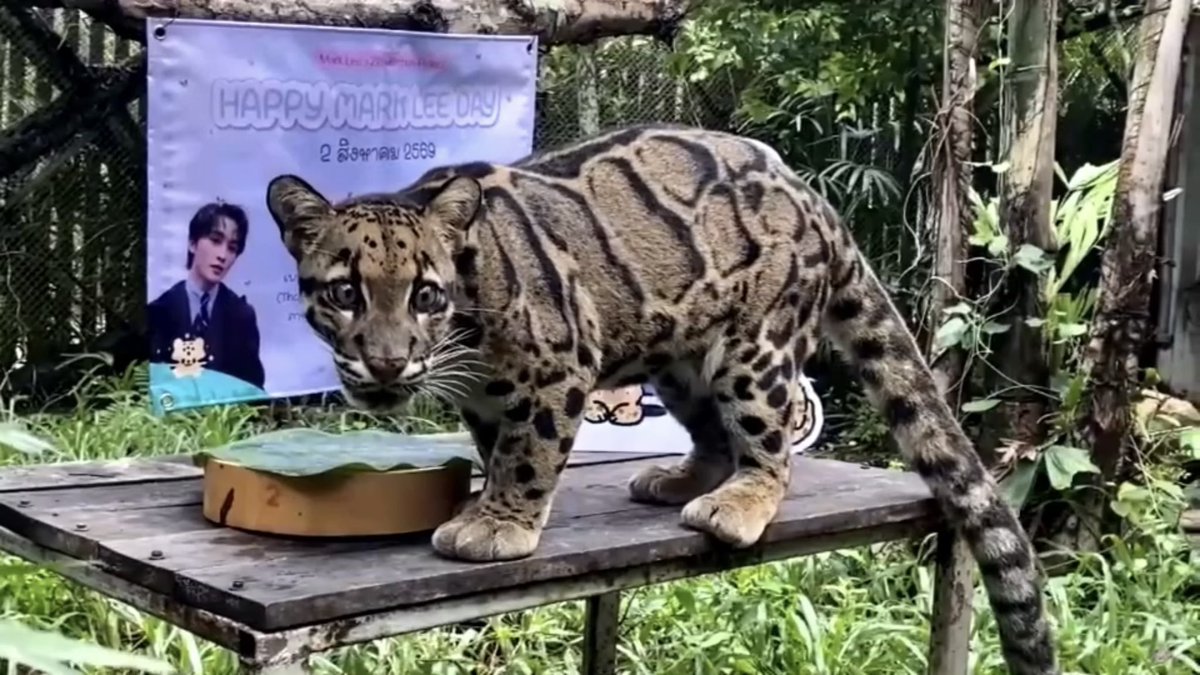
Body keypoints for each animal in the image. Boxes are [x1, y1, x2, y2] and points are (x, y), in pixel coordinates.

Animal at [265, 123, 1057, 675]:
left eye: (425, 296)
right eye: (344, 293)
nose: (386, 361)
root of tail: (813, 196)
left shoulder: (557, 368)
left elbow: (529, 453)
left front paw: (501, 523)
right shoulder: (486, 394)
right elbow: (499, 448)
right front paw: (489, 506)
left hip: (756, 351)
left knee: (770, 446)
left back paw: (737, 502)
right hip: (681, 360)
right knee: (712, 432)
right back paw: (681, 477)